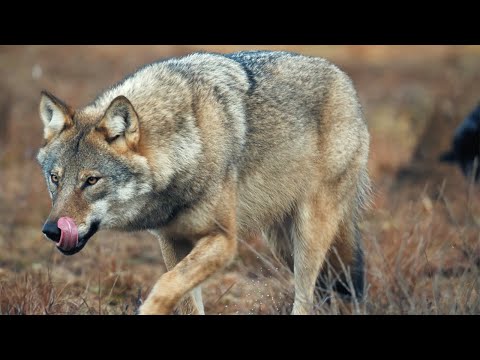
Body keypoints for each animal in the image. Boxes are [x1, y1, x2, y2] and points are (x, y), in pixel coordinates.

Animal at [36, 50, 372, 316]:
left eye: (91, 180)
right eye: (55, 179)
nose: (51, 230)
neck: (187, 144)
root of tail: (344, 79)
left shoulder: (223, 240)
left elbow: (166, 283)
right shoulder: (172, 240)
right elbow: (185, 299)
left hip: (307, 238)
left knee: (306, 297)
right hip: (281, 243)